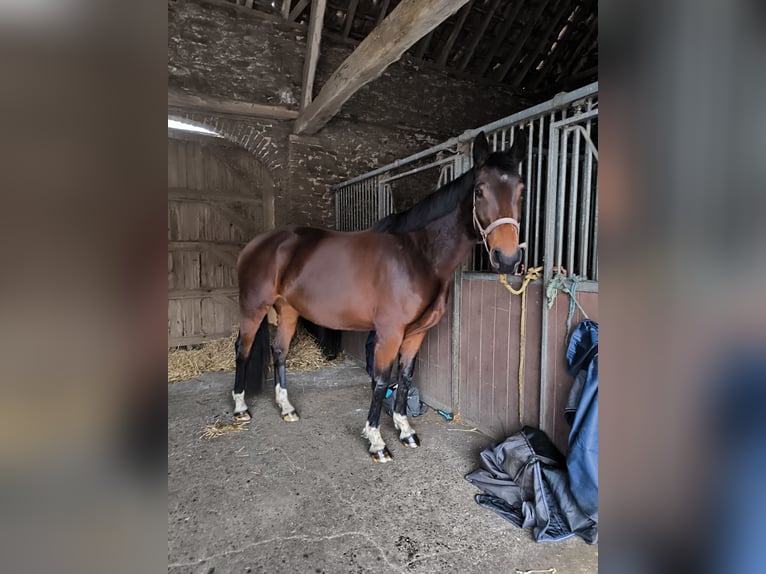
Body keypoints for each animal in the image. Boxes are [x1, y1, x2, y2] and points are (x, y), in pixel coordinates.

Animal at [230, 132, 528, 464]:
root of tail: (257, 244)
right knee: (242, 349)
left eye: (521, 190)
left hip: (288, 310)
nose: (507, 259)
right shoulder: (390, 333)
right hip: (253, 308)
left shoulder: (417, 334)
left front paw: (405, 430)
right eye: (479, 190)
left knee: (279, 351)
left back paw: (287, 408)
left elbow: (406, 376)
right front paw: (377, 442)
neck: (417, 256)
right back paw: (240, 407)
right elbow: (382, 380)